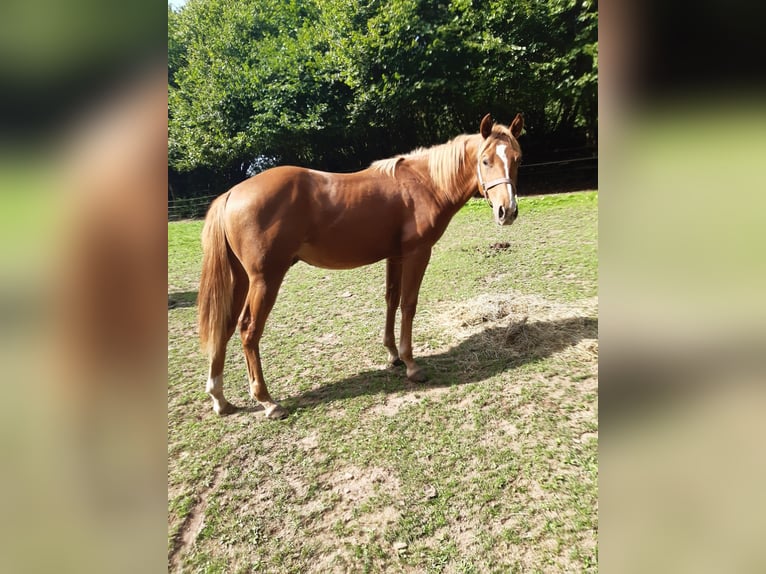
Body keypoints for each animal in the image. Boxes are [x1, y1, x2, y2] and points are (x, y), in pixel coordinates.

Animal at [198, 113, 524, 419]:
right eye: (485, 160)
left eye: (517, 159)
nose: (507, 211)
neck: (425, 183)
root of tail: (232, 194)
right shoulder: (417, 253)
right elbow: (408, 304)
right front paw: (411, 364)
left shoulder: (395, 256)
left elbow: (391, 300)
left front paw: (393, 355)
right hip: (265, 279)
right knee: (248, 330)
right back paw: (267, 401)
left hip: (240, 279)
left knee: (224, 325)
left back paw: (219, 398)